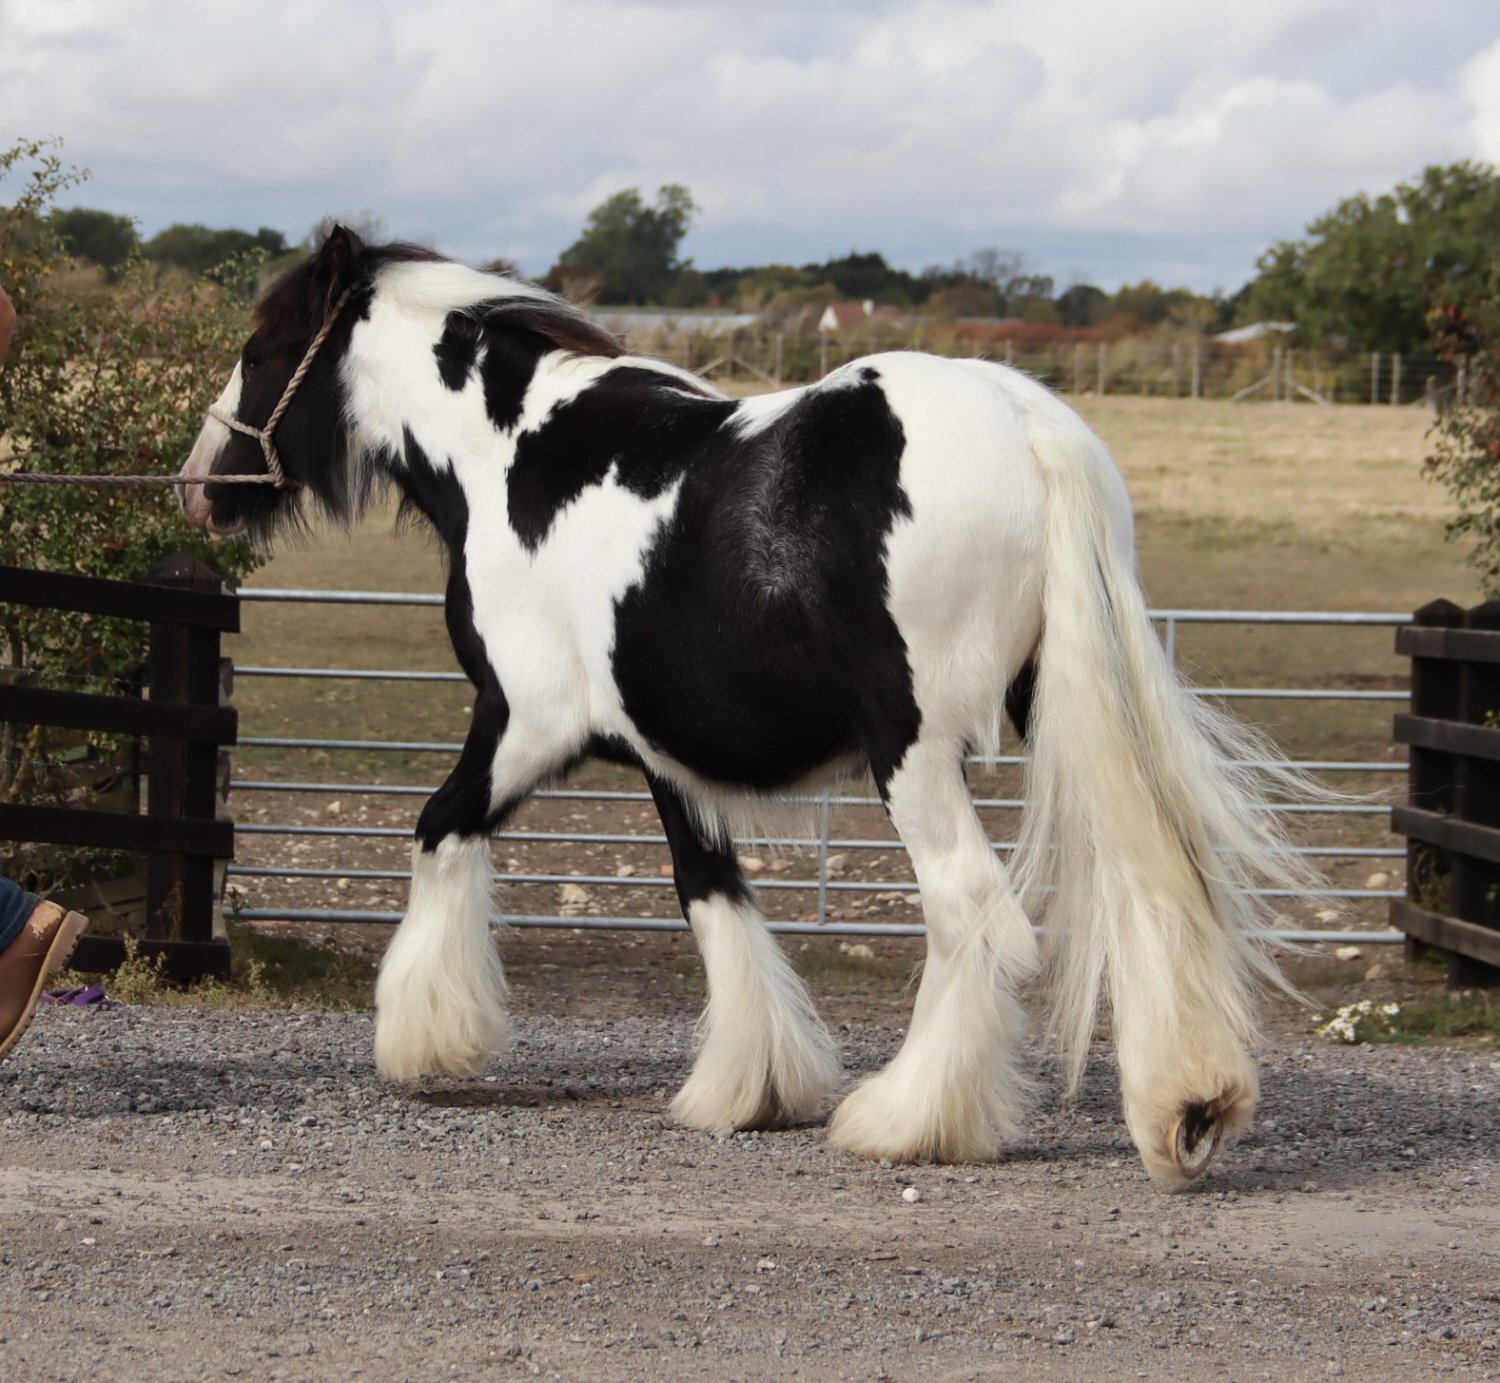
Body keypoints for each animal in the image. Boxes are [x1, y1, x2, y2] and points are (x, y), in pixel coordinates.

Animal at [180, 226, 1320, 1186]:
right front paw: (754, 1087)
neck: (511, 460)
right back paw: (1185, 1105)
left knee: (973, 913)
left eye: (263, 346)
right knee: (1147, 889)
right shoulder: (666, 757)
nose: (200, 485)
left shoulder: (524, 722)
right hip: (1060, 705)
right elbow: (713, 893)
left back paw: (906, 1121)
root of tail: (1023, 420)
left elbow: (439, 828)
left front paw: (428, 1036)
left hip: (916, 752)